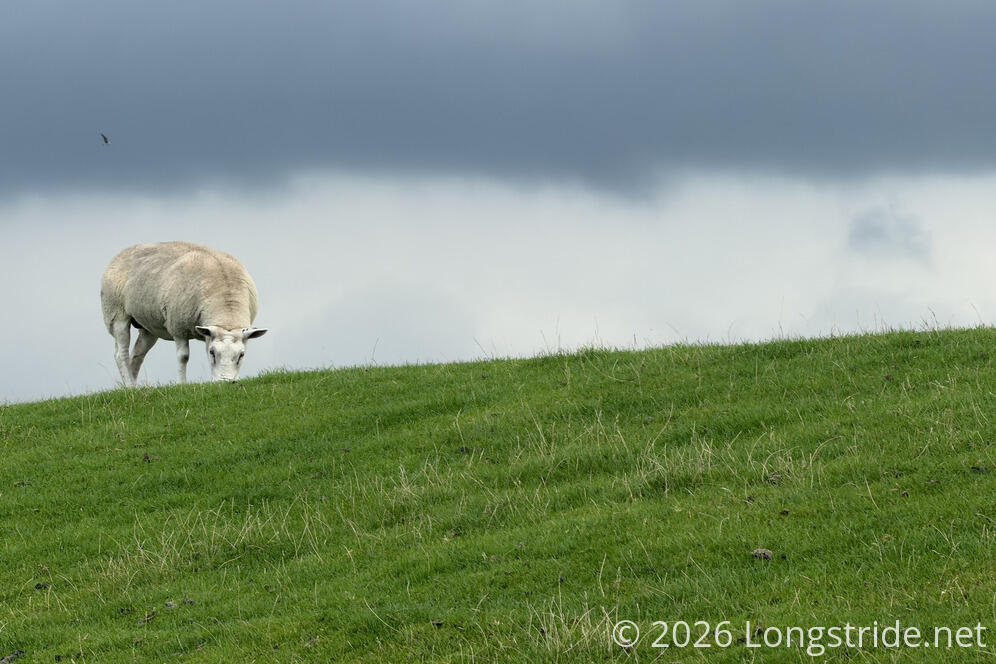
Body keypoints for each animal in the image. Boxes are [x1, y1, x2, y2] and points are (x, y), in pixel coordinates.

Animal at [100, 241, 268, 386]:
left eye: (242, 355)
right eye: (212, 352)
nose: (225, 382)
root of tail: (124, 251)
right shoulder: (178, 326)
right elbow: (183, 357)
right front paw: (181, 385)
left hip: (149, 326)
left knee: (136, 355)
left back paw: (134, 388)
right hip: (115, 312)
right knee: (121, 354)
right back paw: (129, 386)